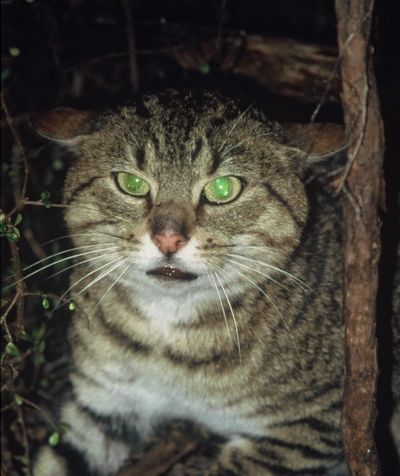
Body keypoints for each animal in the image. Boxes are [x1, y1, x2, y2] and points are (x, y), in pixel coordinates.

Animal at [30, 90, 400, 476]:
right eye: (130, 184)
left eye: (224, 188)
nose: (168, 239)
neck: (167, 334)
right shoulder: (100, 405)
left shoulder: (310, 427)